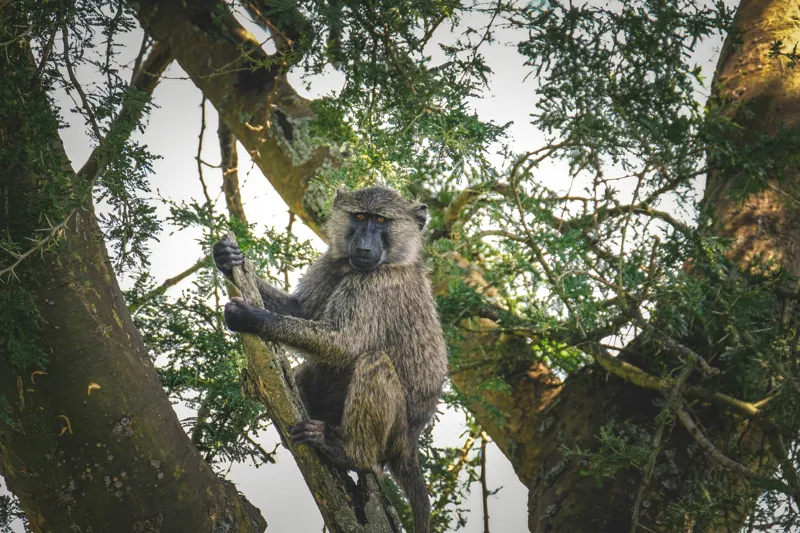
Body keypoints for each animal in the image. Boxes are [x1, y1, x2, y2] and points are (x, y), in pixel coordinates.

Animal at [213, 186, 449, 533]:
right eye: (360, 217)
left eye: (381, 220)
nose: (363, 245)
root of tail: (411, 441)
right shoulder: (331, 263)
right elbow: (302, 311)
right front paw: (227, 259)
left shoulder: (375, 284)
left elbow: (344, 345)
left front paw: (250, 317)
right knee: (307, 370)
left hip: (393, 432)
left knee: (373, 362)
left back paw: (349, 454)